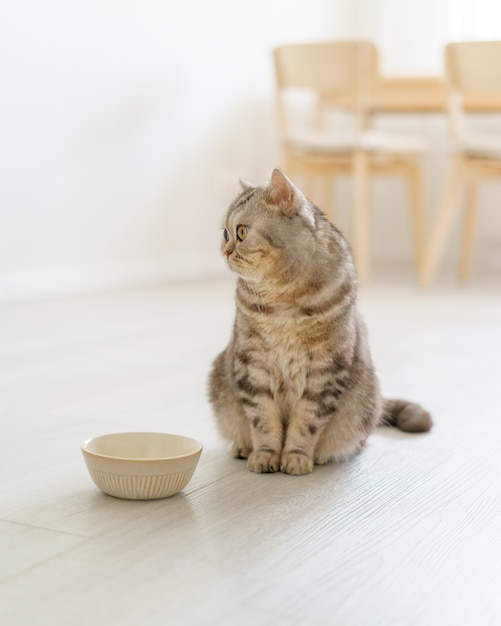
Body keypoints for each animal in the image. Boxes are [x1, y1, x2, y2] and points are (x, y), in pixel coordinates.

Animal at [207, 167, 430, 472]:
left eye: (241, 232)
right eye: (225, 233)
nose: (225, 251)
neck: (282, 301)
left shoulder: (326, 371)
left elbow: (307, 422)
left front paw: (296, 457)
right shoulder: (252, 364)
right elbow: (262, 418)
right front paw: (265, 454)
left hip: (365, 403)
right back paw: (242, 447)